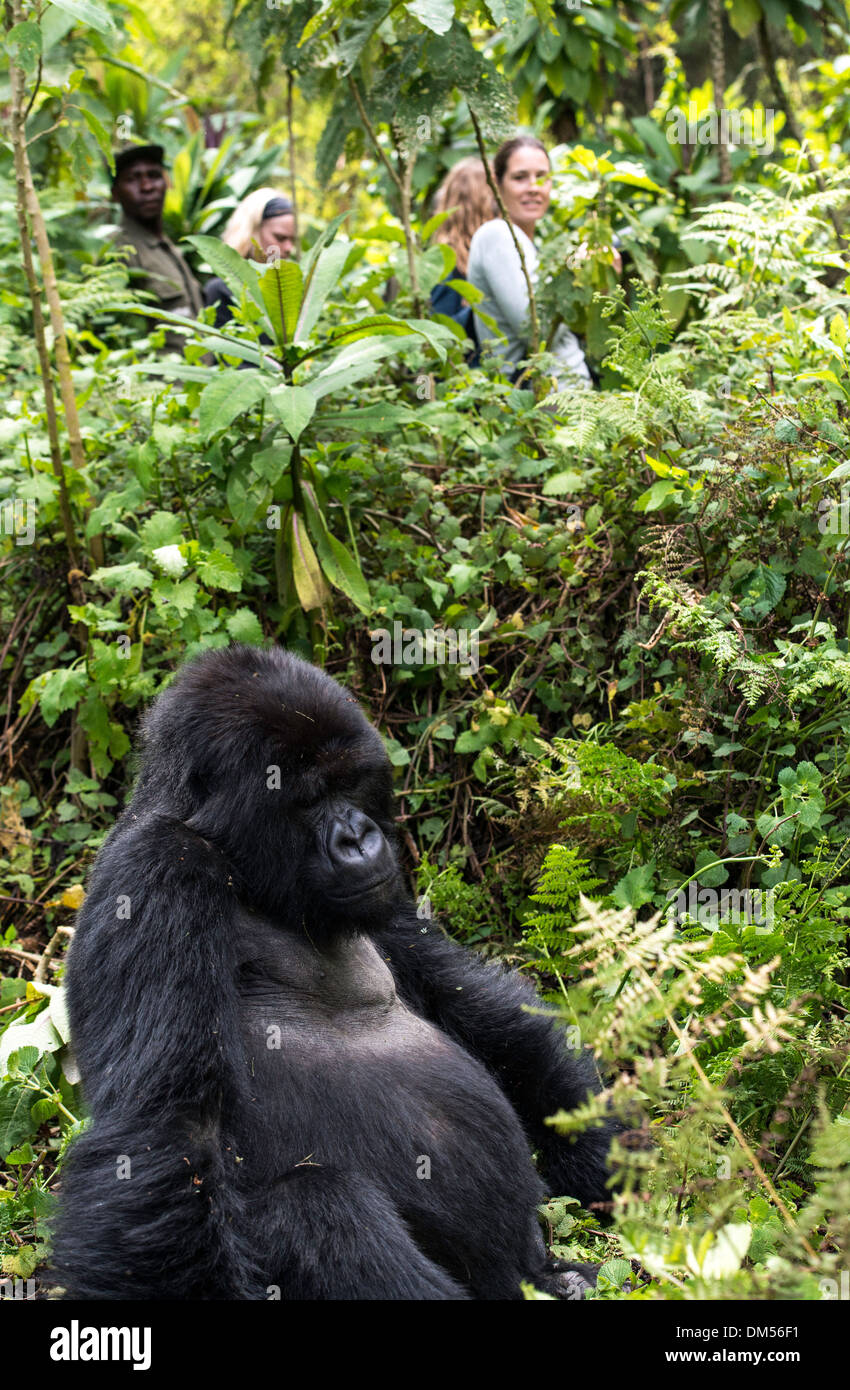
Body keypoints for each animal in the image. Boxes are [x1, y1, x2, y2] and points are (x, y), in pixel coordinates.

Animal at [54, 644, 616, 1295]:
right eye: (306, 801)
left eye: (350, 782)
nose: (357, 838)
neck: (234, 858)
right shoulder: (156, 873)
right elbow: (170, 1128)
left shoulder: (386, 891)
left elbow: (475, 1007)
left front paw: (616, 1160)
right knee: (318, 1206)